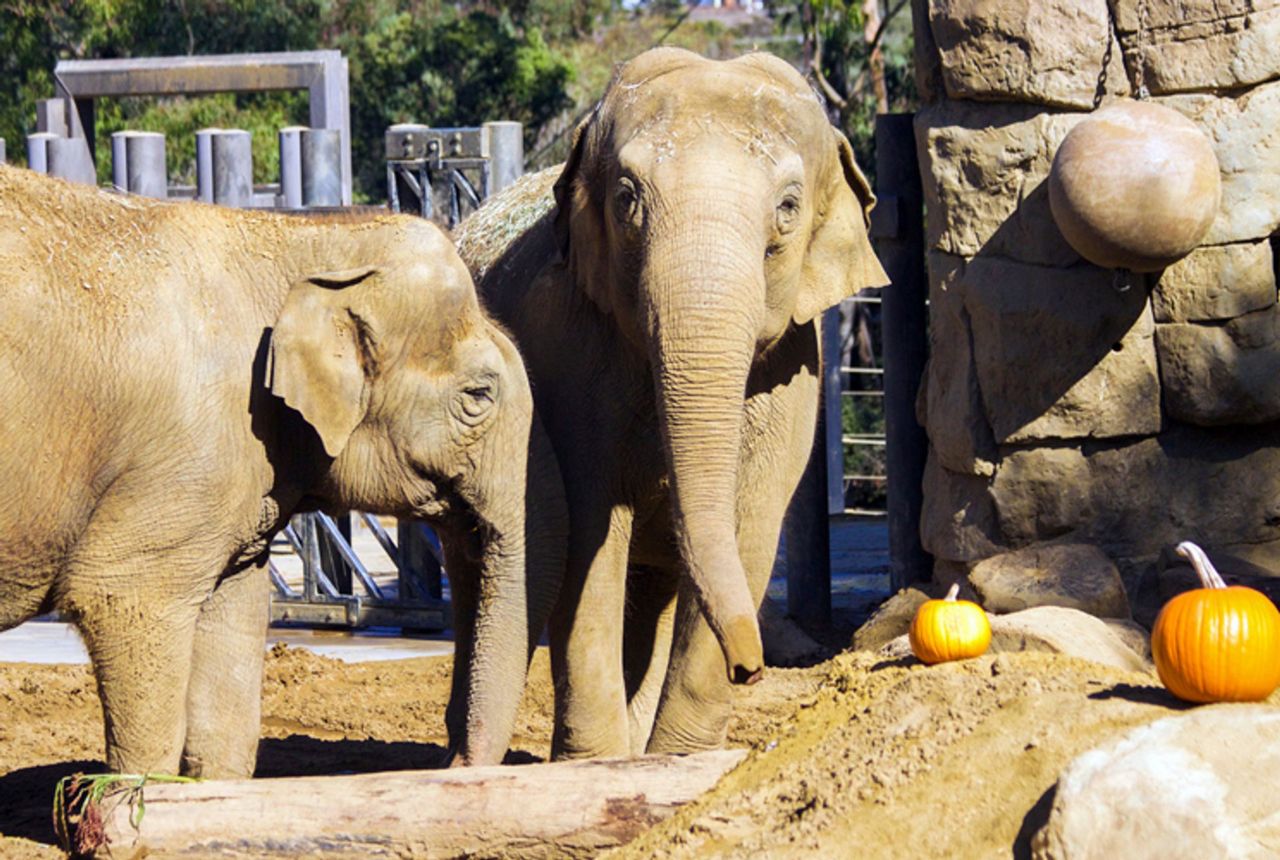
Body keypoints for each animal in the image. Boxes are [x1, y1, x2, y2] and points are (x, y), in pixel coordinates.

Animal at [0, 165, 565, 778]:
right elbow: (118, 594)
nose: (453, 762)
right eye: (479, 396)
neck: (297, 241)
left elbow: (234, 629)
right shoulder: (186, 456)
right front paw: (135, 796)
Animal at [455, 47, 885, 757]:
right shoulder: (568, 354)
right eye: (627, 199)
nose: (753, 668)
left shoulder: (794, 374)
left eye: (788, 208)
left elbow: (749, 531)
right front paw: (595, 766)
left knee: (653, 591)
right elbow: (589, 533)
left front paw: (682, 760)